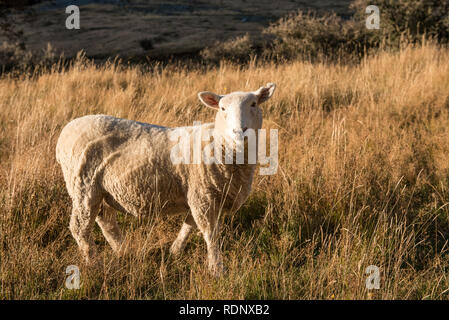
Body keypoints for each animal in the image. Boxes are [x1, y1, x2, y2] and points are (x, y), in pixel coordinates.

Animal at [55, 82, 272, 276]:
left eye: (254, 104)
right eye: (222, 108)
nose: (239, 131)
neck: (221, 145)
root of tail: (67, 128)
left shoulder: (196, 193)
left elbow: (189, 224)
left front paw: (175, 251)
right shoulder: (203, 196)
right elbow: (210, 233)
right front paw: (217, 269)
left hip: (103, 189)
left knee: (106, 221)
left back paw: (124, 250)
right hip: (83, 185)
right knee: (80, 228)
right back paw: (94, 263)